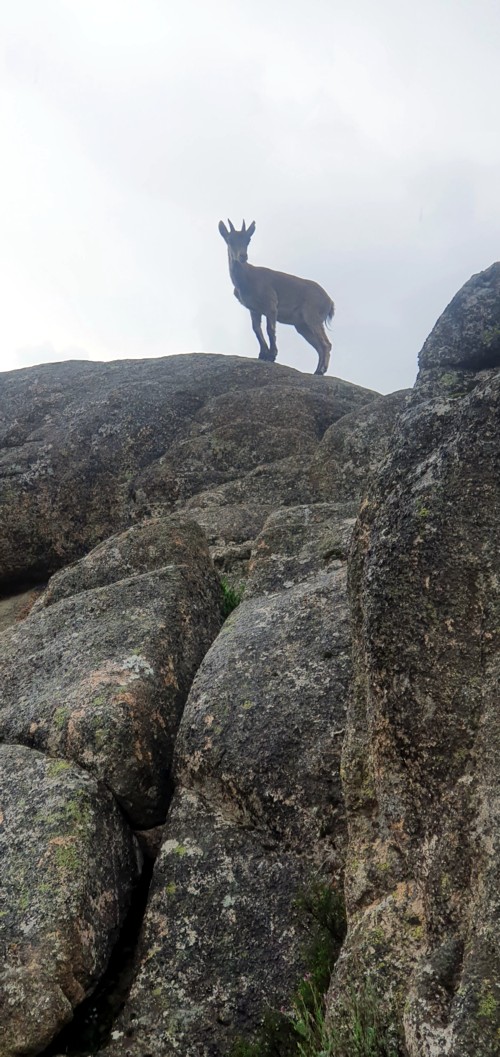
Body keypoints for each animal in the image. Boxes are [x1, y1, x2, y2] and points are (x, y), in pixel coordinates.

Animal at [218, 219, 335, 375]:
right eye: (230, 240)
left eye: (248, 239)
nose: (243, 256)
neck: (247, 278)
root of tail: (329, 301)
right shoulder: (254, 309)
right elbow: (256, 329)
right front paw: (263, 354)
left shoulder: (271, 305)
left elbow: (270, 329)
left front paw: (272, 355)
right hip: (302, 325)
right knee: (319, 346)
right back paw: (317, 371)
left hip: (312, 316)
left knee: (326, 344)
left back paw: (321, 370)